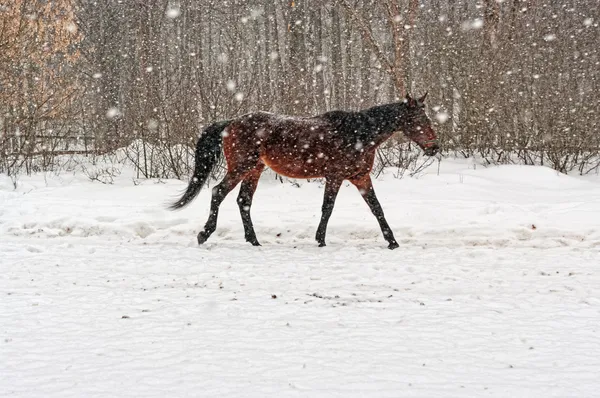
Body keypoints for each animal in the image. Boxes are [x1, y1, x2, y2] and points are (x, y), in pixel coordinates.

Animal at [171, 92, 438, 249]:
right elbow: (328, 208)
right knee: (218, 192)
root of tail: (231, 122)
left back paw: (254, 240)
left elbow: (376, 208)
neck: (357, 134)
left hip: (254, 170)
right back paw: (204, 234)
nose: (434, 148)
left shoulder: (361, 177)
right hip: (240, 167)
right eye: (419, 120)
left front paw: (392, 241)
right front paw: (320, 240)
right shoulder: (335, 177)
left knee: (243, 202)